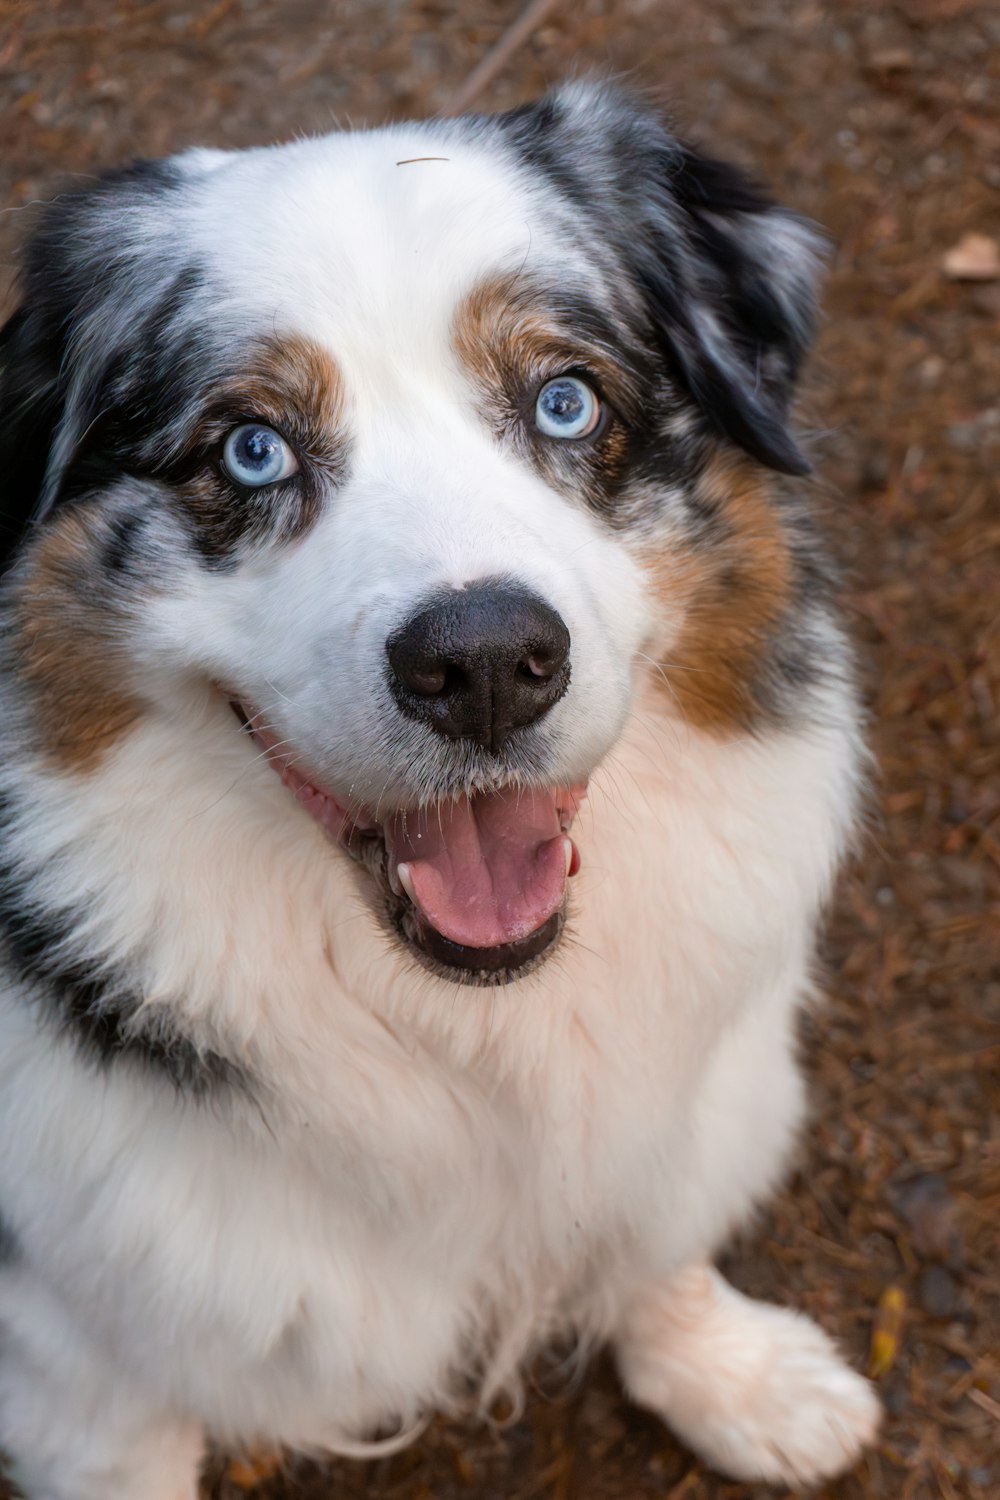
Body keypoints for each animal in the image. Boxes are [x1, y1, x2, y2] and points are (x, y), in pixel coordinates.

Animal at [0, 85, 881, 1500]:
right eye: (250, 449)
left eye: (567, 403)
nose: (481, 666)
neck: (466, 1025)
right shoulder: (76, 1353)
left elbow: (657, 1236)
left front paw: (736, 1374)